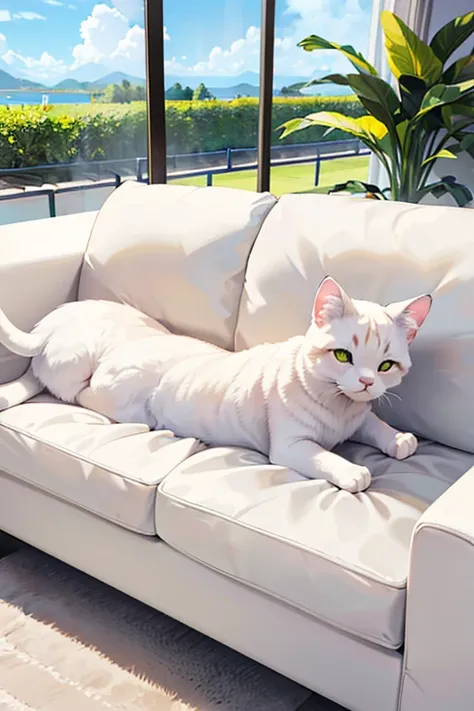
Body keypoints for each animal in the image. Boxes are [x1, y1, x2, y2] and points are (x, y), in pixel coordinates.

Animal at [0, 280, 432, 496]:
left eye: (386, 366)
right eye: (343, 356)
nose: (366, 381)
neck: (340, 407)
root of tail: (46, 328)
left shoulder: (361, 415)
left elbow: (376, 424)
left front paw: (400, 440)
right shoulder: (290, 447)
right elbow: (325, 457)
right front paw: (354, 471)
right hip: (105, 387)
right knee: (78, 392)